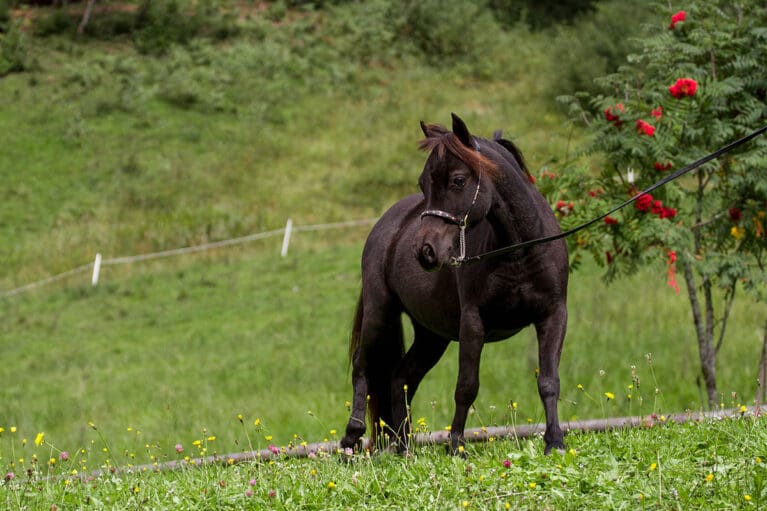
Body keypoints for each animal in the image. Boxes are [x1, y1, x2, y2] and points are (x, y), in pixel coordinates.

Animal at [344, 113, 568, 456]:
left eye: (458, 181)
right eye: (423, 183)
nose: (425, 251)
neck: (519, 250)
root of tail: (388, 225)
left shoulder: (553, 315)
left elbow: (548, 380)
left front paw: (554, 440)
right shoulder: (473, 322)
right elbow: (466, 385)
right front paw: (456, 445)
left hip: (431, 336)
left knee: (401, 378)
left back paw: (403, 445)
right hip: (379, 313)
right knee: (362, 366)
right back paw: (352, 437)